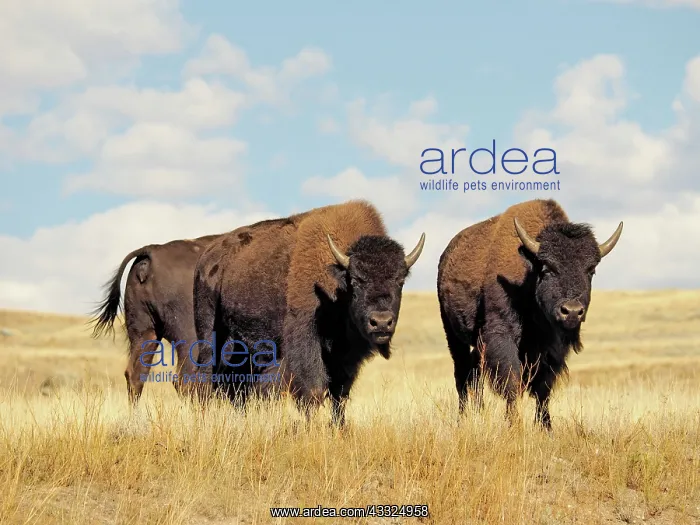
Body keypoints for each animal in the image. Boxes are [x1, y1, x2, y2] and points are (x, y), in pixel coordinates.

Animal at [192, 200, 426, 426]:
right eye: (356, 281)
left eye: (400, 280)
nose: (381, 322)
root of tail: (206, 258)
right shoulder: (306, 343)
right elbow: (313, 391)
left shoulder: (346, 357)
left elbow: (339, 395)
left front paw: (339, 428)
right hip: (210, 335)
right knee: (207, 379)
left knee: (236, 386)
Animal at [437, 199, 623, 431]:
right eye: (547, 268)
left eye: (591, 270)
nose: (571, 311)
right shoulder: (502, 336)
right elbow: (512, 381)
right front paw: (514, 425)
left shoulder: (552, 349)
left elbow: (543, 389)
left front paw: (546, 427)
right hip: (453, 335)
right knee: (462, 375)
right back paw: (463, 419)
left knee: (474, 373)